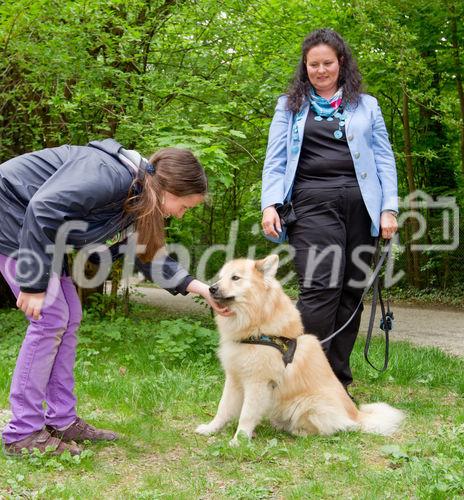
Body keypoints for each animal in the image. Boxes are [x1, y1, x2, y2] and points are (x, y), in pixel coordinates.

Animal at [195, 254, 402, 446]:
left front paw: (239, 440)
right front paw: (211, 429)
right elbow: (223, 408)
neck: (257, 328)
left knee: (329, 428)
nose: (211, 288)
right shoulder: (234, 379)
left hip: (309, 403)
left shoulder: (258, 383)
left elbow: (246, 414)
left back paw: (298, 431)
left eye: (235, 278)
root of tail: (356, 415)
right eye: (221, 277)